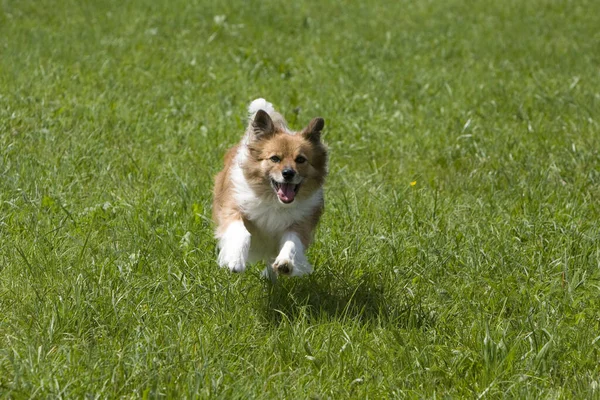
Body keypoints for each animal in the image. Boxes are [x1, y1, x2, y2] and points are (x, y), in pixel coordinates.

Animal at [213, 98, 328, 276]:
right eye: (274, 158)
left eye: (300, 159)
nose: (288, 173)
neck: (274, 201)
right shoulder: (233, 207)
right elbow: (241, 232)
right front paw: (236, 261)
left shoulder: (300, 223)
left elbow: (292, 242)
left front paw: (285, 263)